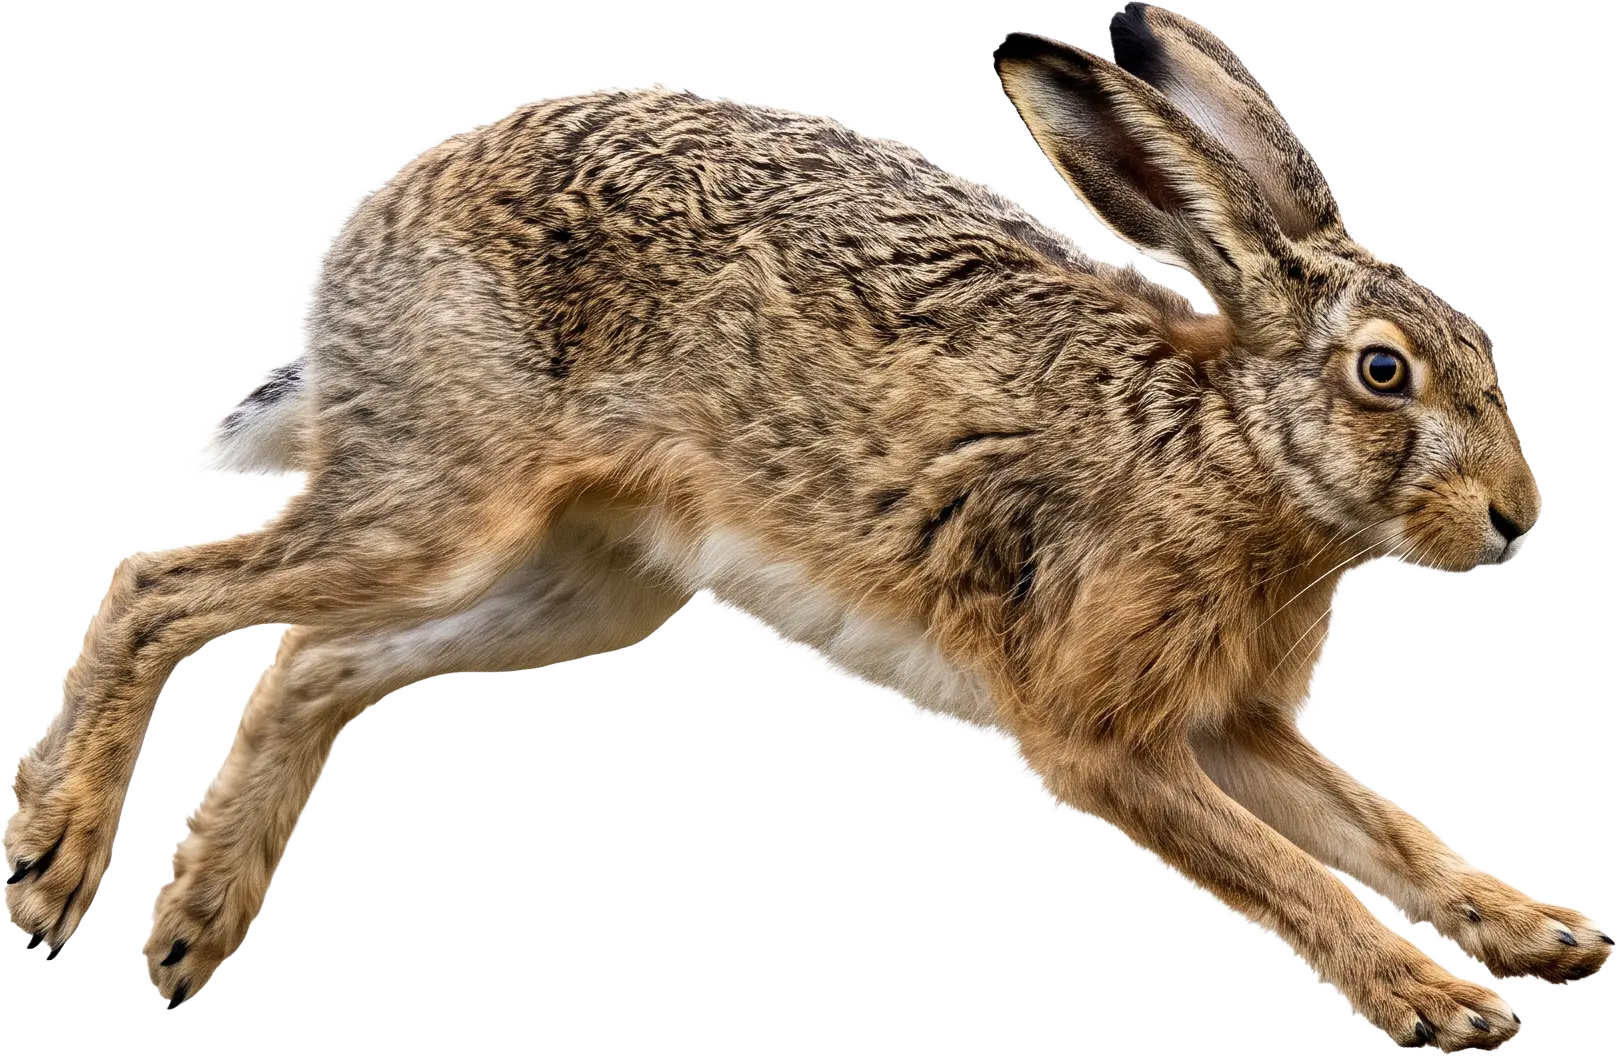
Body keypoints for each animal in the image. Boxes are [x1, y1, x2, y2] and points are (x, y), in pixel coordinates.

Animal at [4, 1, 1607, 1046]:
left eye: (1485, 344)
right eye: (1385, 372)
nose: (1517, 520)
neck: (1233, 454)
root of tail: (366, 238)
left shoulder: (1230, 723)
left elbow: (1383, 831)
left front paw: (1542, 936)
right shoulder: (1101, 736)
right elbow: (1287, 873)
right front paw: (1444, 1004)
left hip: (590, 590)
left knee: (315, 665)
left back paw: (194, 921)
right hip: (437, 503)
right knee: (159, 584)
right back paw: (55, 859)